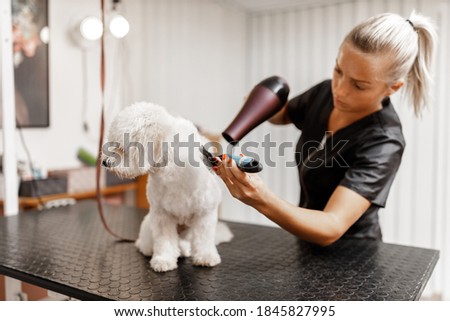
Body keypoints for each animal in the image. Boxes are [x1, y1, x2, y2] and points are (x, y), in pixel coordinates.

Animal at [102, 101, 232, 272]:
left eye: (120, 147)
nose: (105, 162)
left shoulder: (205, 212)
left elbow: (203, 239)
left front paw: (206, 257)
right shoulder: (161, 215)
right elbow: (164, 241)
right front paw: (163, 260)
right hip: (148, 226)